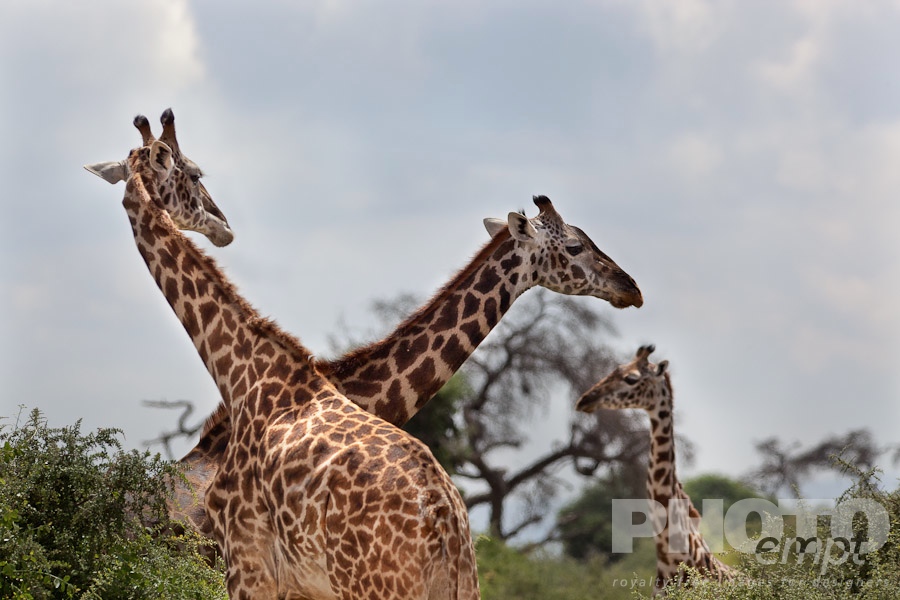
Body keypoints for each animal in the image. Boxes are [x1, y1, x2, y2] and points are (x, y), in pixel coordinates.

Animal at [86, 110, 479, 599]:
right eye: (195, 174)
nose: (223, 225)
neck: (242, 371)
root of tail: (446, 521)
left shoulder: (246, 561)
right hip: (458, 583)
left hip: (375, 585)